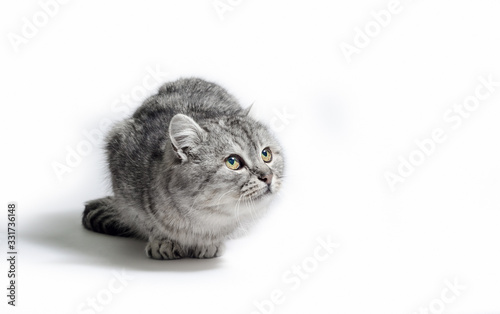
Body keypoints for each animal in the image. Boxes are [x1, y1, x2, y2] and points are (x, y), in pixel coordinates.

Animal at [82, 78, 286, 260]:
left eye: (266, 154)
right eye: (233, 162)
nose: (268, 176)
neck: (200, 221)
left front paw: (209, 243)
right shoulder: (124, 184)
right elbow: (147, 223)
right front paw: (163, 240)